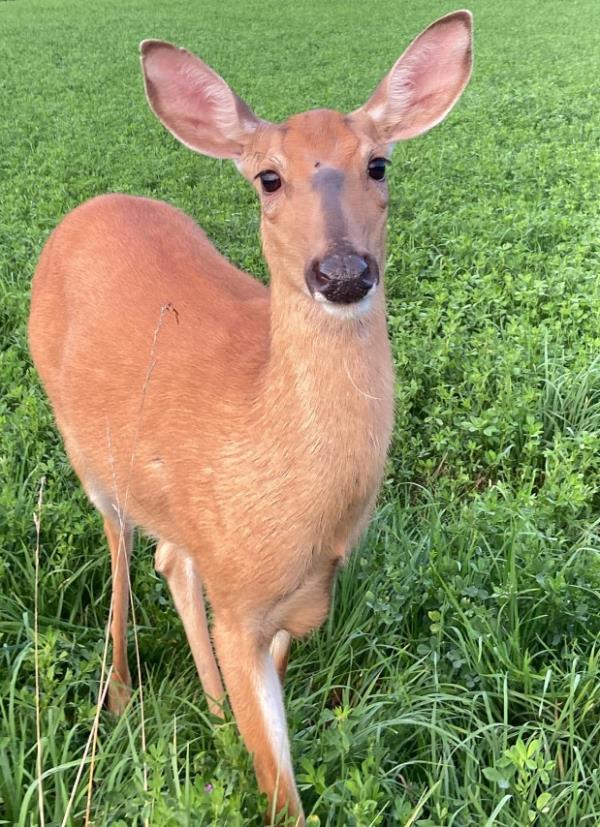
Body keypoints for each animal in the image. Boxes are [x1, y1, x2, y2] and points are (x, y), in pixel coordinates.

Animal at [28, 9, 474, 824]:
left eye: (379, 165)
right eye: (268, 177)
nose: (342, 272)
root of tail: (91, 206)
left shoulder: (290, 595)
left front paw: (226, 722)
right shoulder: (237, 604)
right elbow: (281, 794)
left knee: (170, 559)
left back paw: (206, 706)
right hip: (86, 447)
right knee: (121, 548)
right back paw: (120, 694)